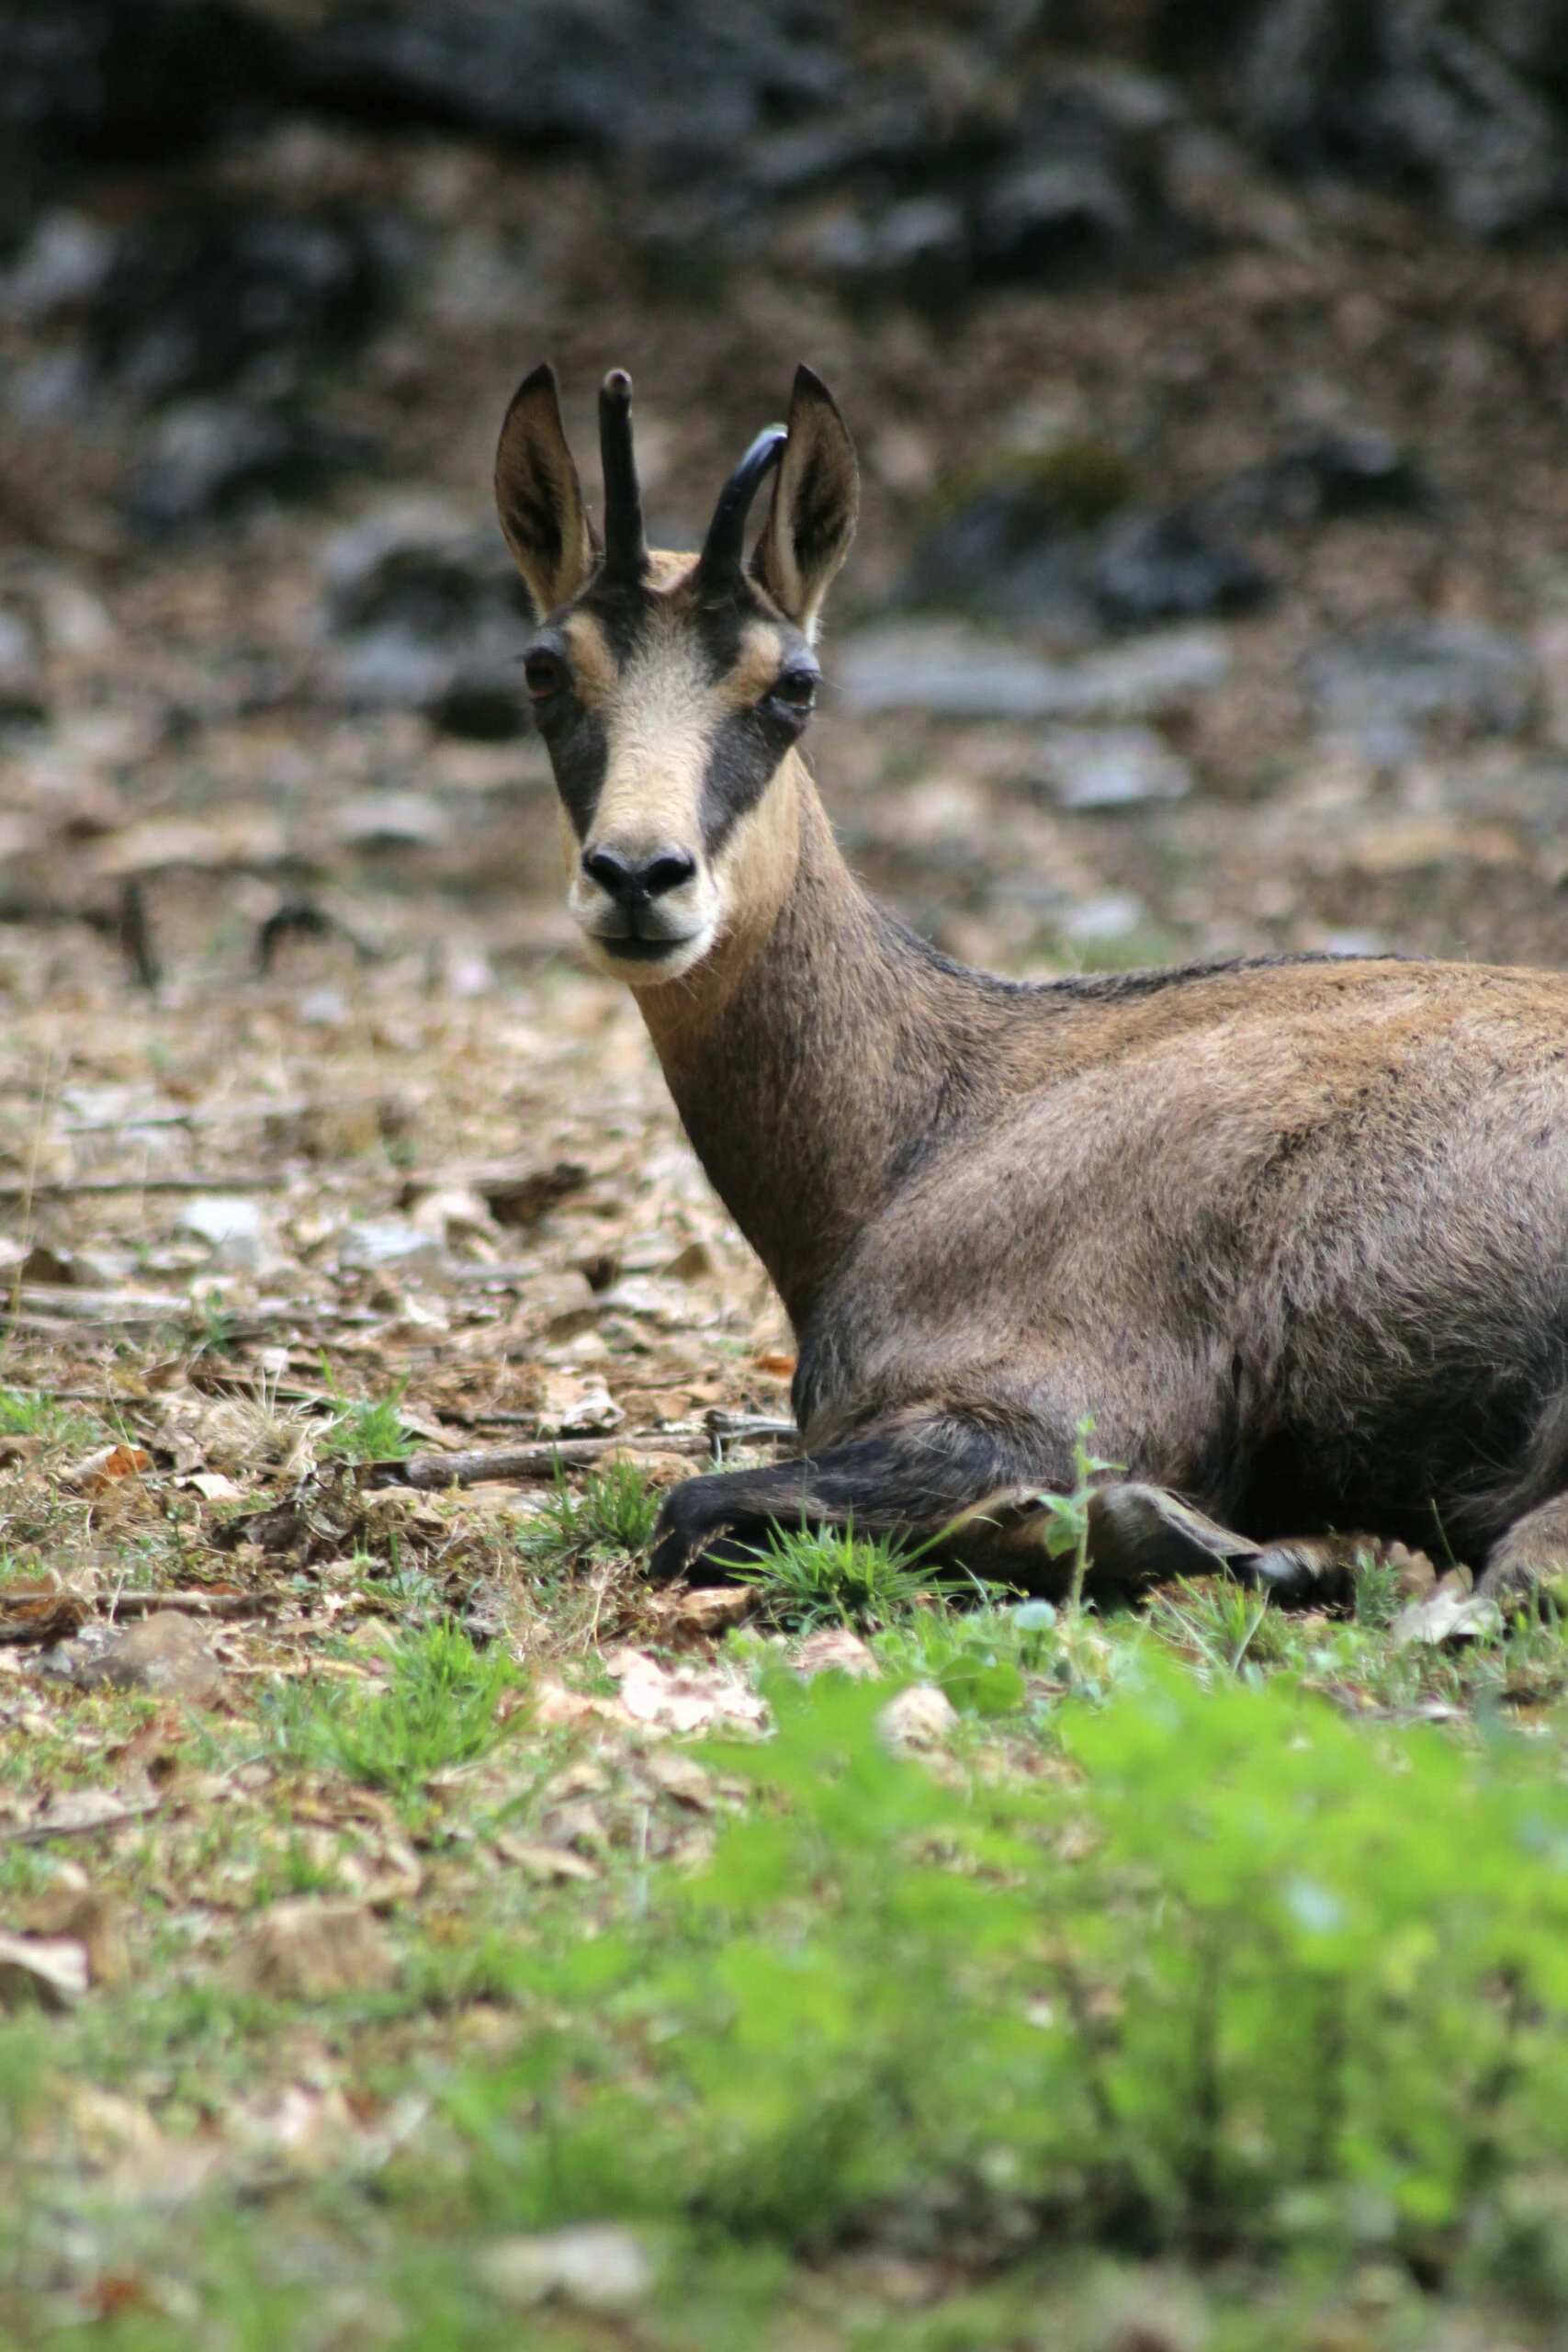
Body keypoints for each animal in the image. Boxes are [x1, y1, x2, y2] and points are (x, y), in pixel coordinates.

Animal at [494, 359, 1568, 1605]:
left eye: (794, 684)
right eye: (544, 668)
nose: (638, 875)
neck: (931, 1123)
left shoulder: (1043, 1385)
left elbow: (696, 1504)